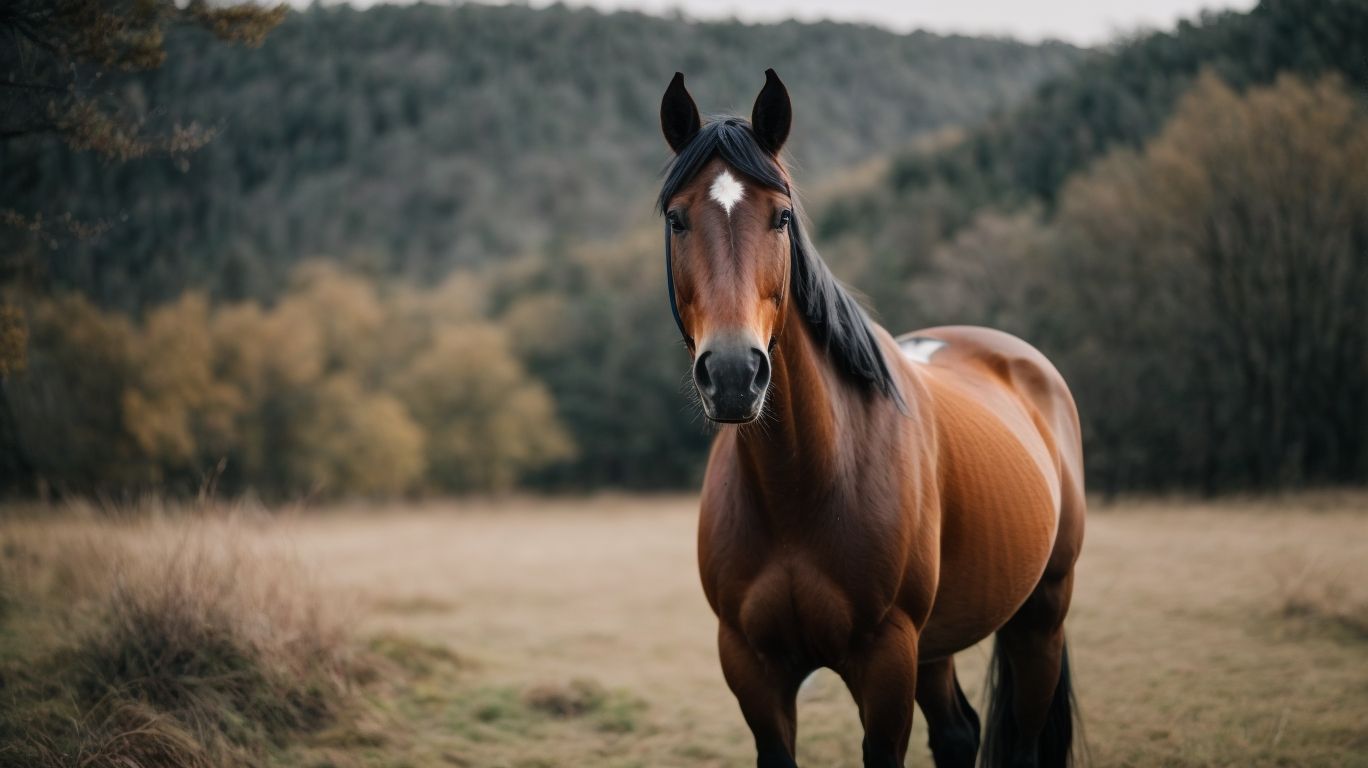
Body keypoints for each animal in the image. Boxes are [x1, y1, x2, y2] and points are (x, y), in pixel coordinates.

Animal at [656, 70, 1086, 768]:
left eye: (781, 217)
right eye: (677, 218)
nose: (733, 373)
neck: (803, 485)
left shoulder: (886, 662)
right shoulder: (753, 670)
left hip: (1040, 618)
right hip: (938, 643)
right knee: (958, 732)